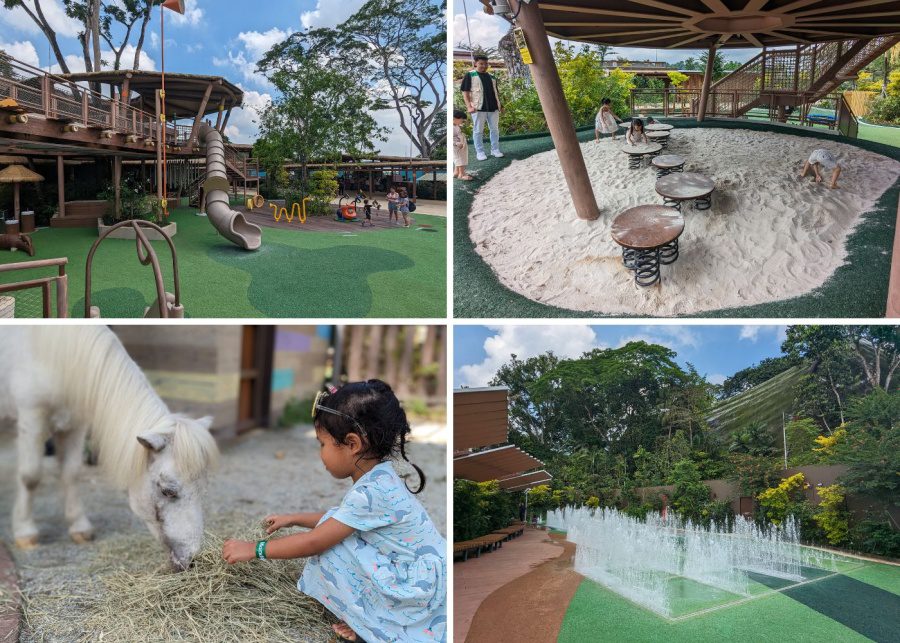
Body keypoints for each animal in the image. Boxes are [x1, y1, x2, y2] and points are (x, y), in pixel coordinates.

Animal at [0, 328, 218, 568]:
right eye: (167, 491)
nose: (192, 558)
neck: (56, 357)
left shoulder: (75, 424)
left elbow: (71, 473)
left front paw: (79, 527)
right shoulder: (32, 419)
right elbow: (30, 477)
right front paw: (25, 531)